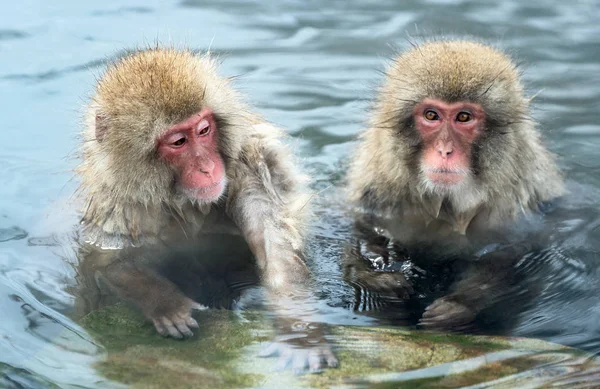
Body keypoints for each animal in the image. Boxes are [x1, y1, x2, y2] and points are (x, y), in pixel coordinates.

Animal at [72, 47, 336, 372]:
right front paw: (167, 303)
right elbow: (105, 259)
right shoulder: (118, 200)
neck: (185, 201)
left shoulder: (249, 168)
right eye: (178, 141)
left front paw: (300, 335)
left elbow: (277, 251)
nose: (208, 167)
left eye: (204, 130)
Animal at [344, 39, 564, 330]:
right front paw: (380, 278)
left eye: (463, 117)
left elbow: (510, 256)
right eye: (431, 115)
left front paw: (457, 305)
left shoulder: (515, 202)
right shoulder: (376, 189)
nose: (445, 151)